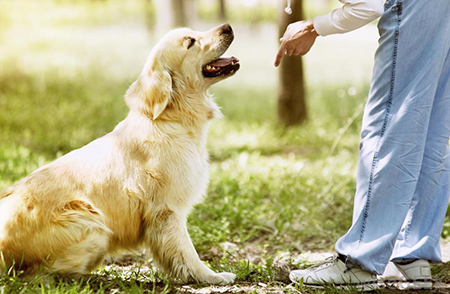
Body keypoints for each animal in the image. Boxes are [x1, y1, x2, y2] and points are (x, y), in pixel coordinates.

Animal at [0, 23, 239, 284]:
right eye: (191, 42)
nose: (227, 27)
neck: (170, 119)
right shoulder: (167, 210)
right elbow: (187, 253)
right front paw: (211, 277)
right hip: (92, 224)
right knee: (39, 275)